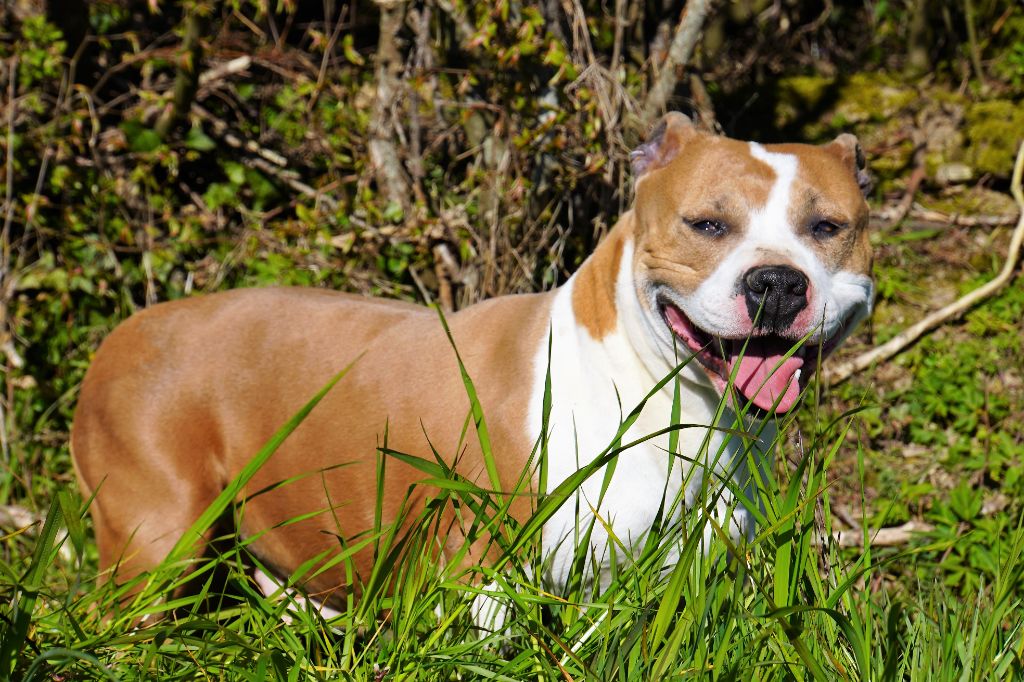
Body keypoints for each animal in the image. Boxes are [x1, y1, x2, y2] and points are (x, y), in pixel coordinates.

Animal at [72, 115, 872, 614]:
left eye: (828, 227)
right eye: (707, 224)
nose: (776, 283)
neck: (669, 406)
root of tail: (122, 333)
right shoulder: (485, 573)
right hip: (156, 539)